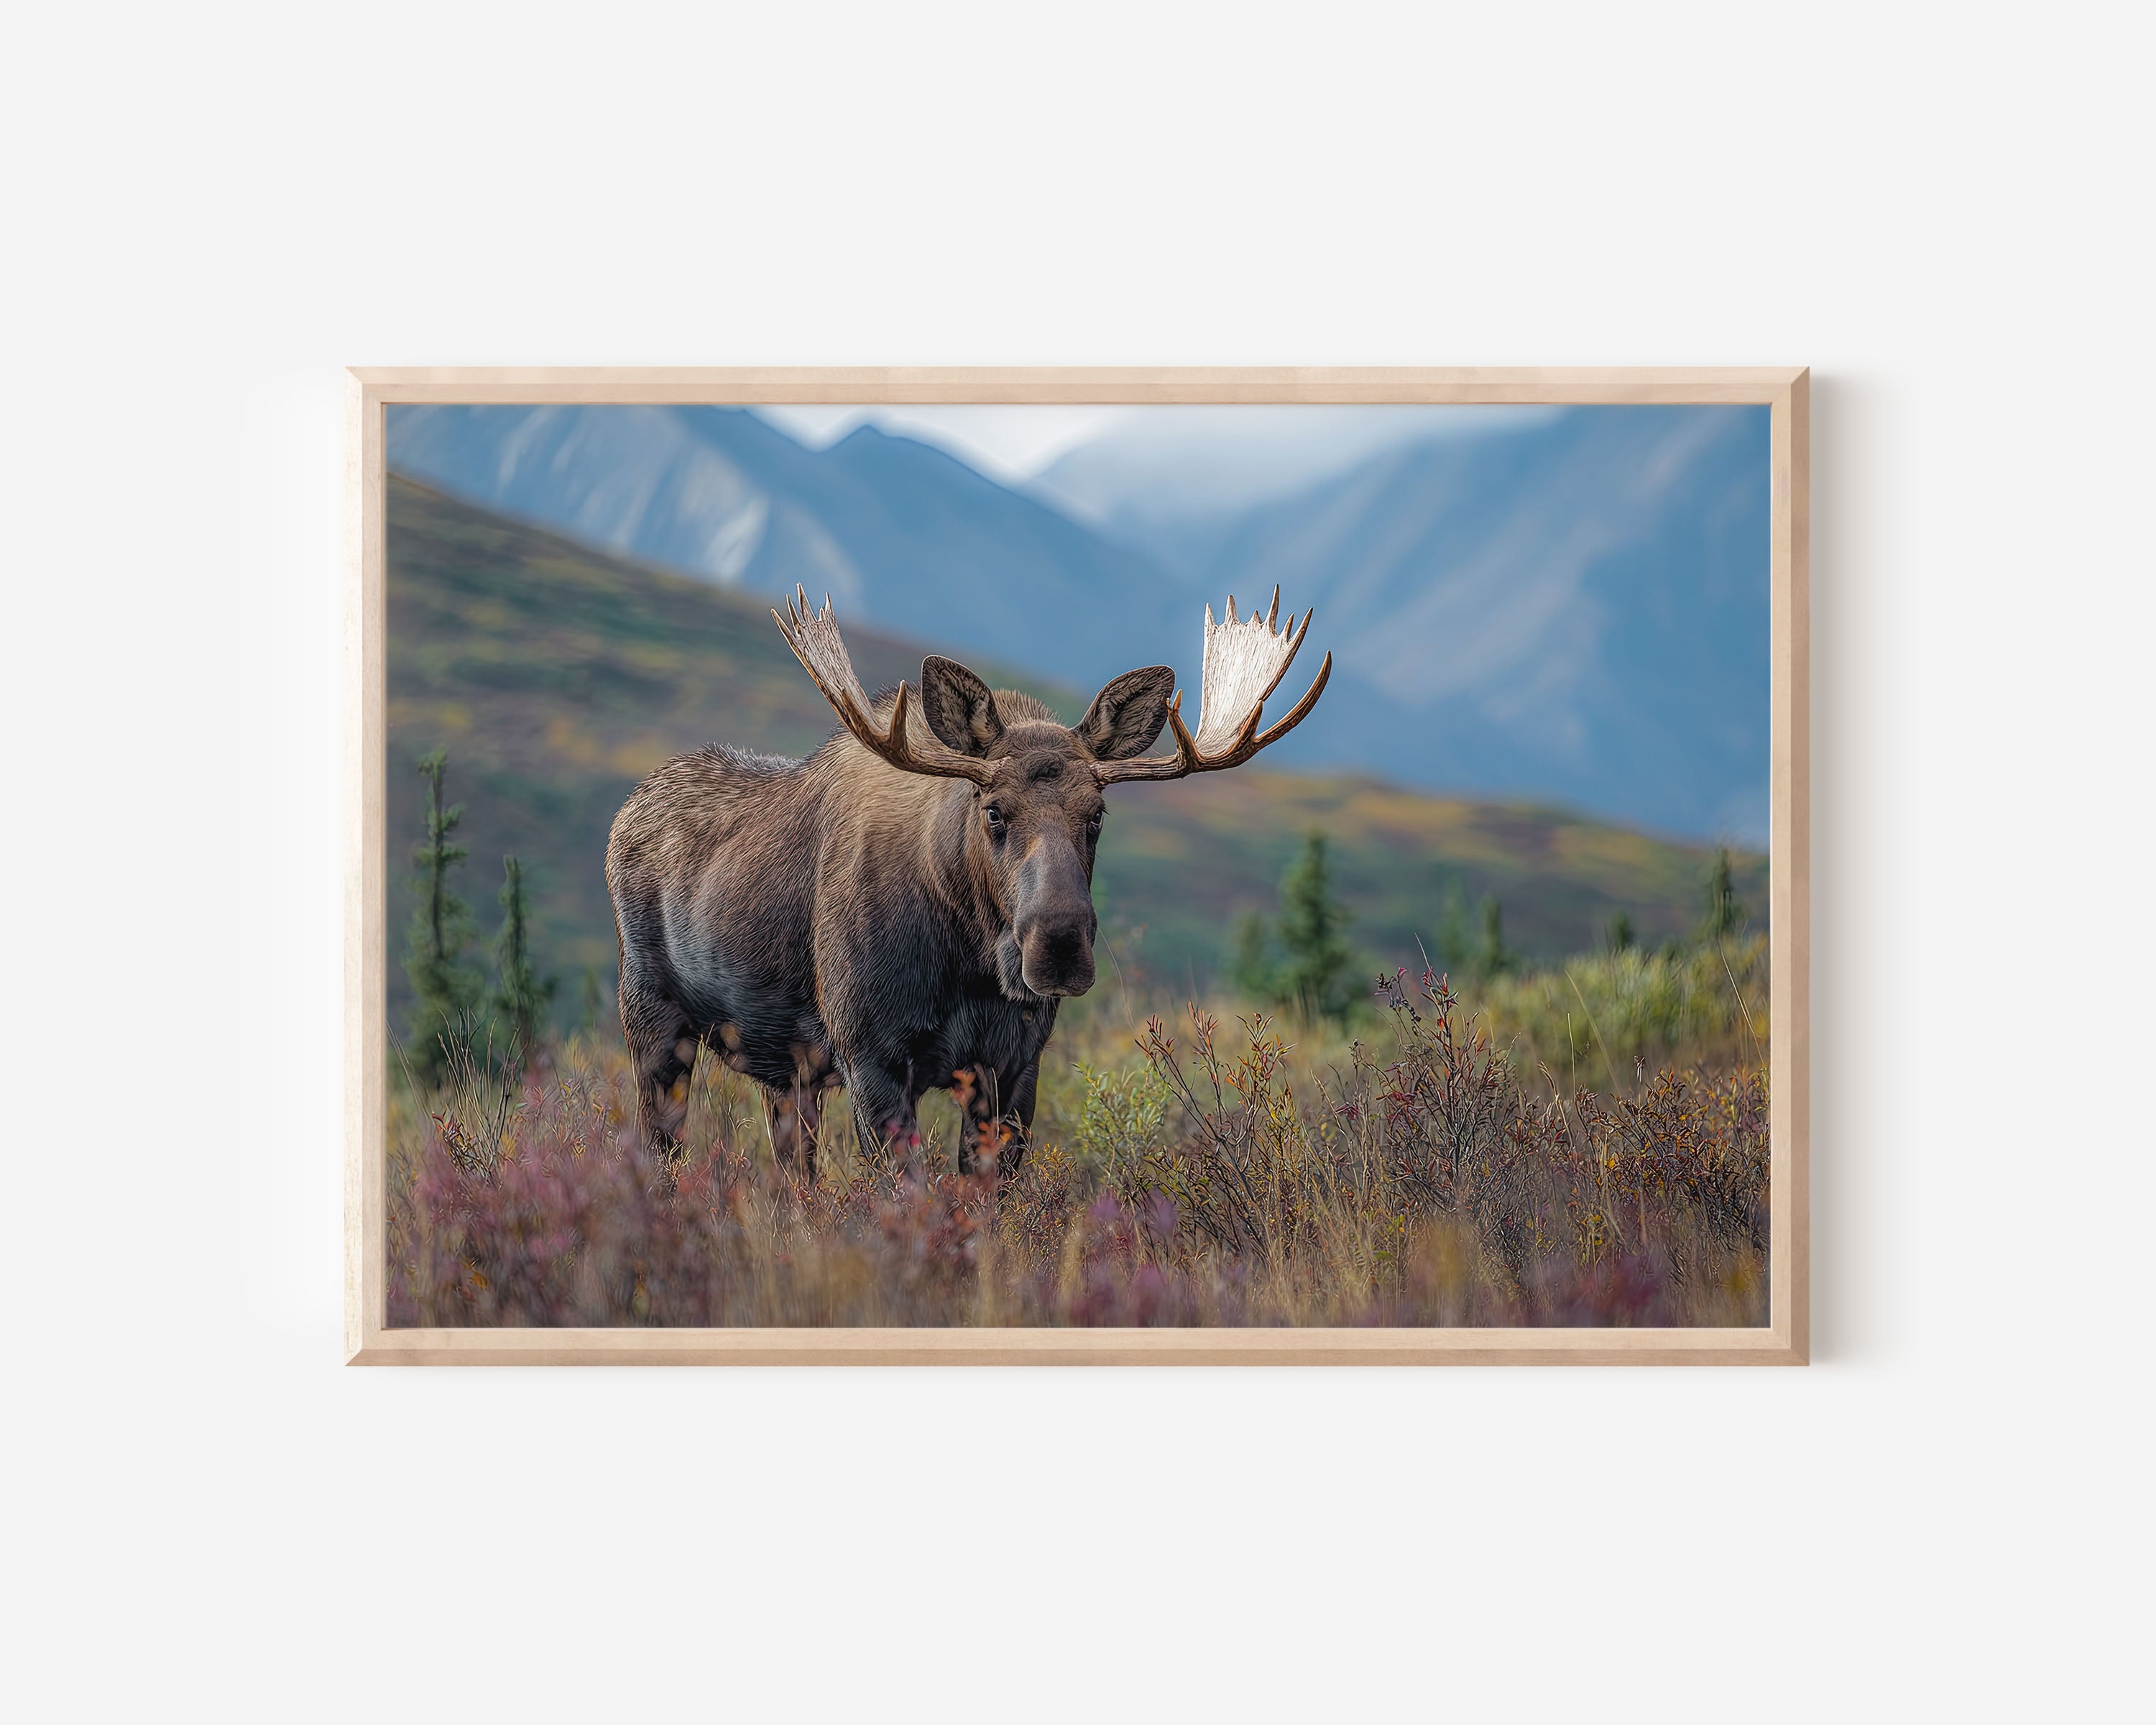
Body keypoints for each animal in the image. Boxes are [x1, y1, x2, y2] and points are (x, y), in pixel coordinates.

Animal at [604, 585, 1330, 1181]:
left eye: (1097, 814)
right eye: (994, 811)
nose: (1058, 946)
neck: (970, 962)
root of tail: (627, 810)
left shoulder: (1012, 1064)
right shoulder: (870, 1056)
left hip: (785, 1070)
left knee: (793, 1176)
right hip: (652, 1019)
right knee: (662, 1150)